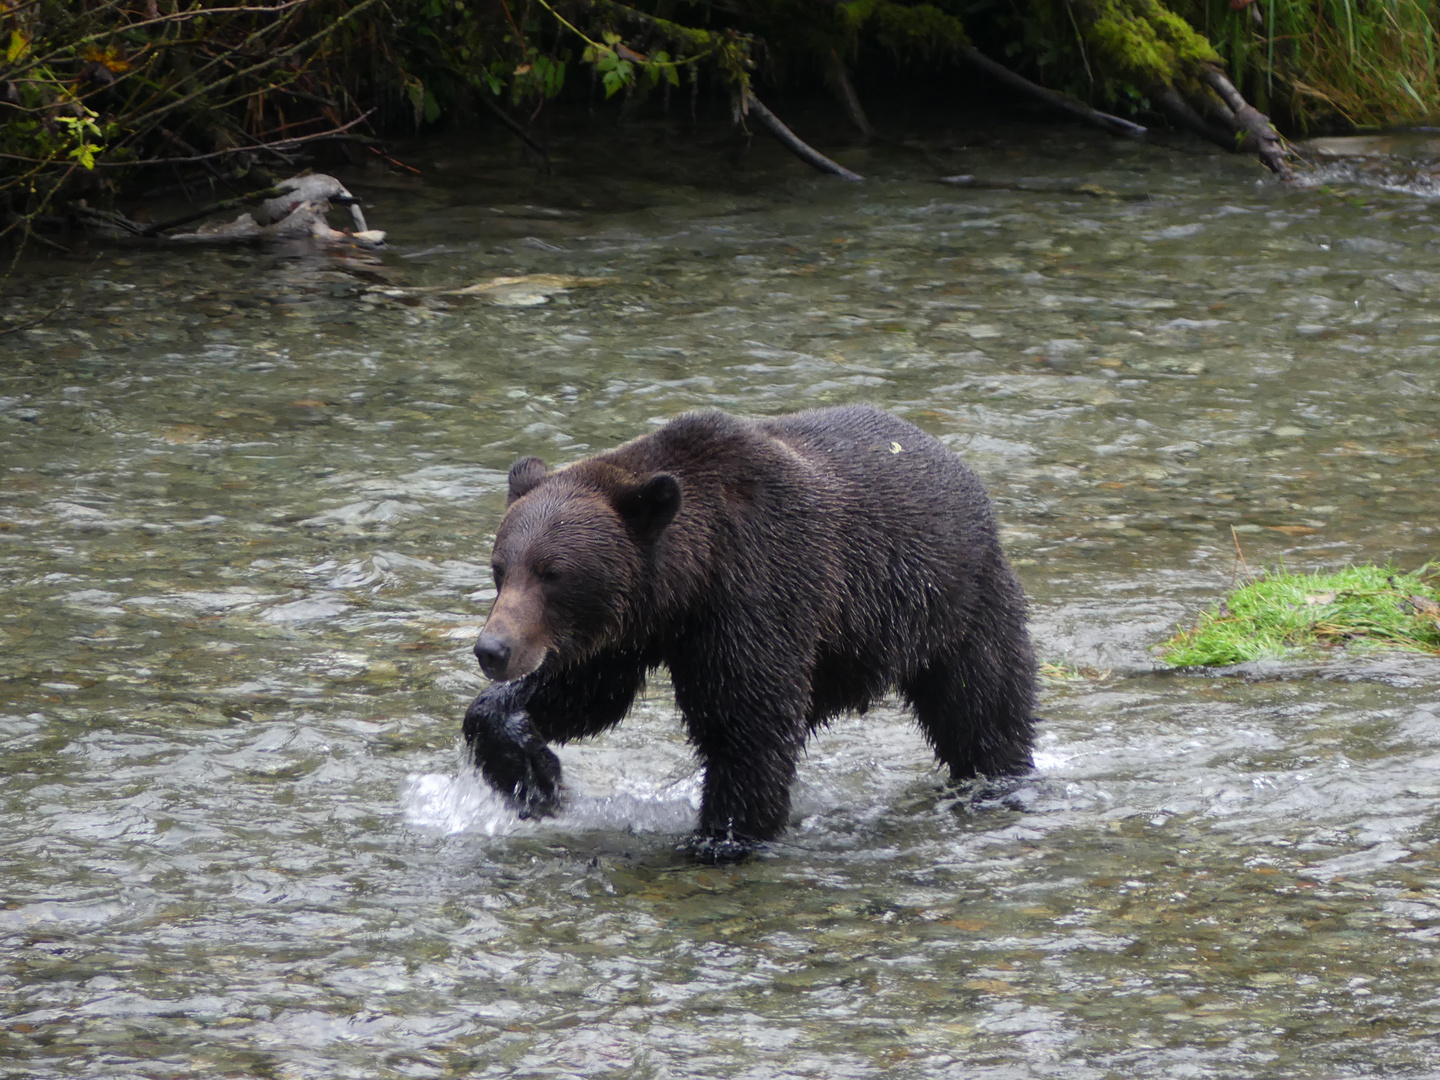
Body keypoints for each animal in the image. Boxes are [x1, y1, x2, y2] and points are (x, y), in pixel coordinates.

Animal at [466, 403, 1042, 864]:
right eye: (501, 568)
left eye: (553, 574)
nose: (493, 649)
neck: (690, 583)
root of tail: (958, 465)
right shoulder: (632, 630)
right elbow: (589, 697)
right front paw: (532, 775)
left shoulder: (759, 592)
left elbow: (747, 725)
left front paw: (722, 839)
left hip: (960, 605)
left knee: (982, 706)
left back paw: (998, 778)